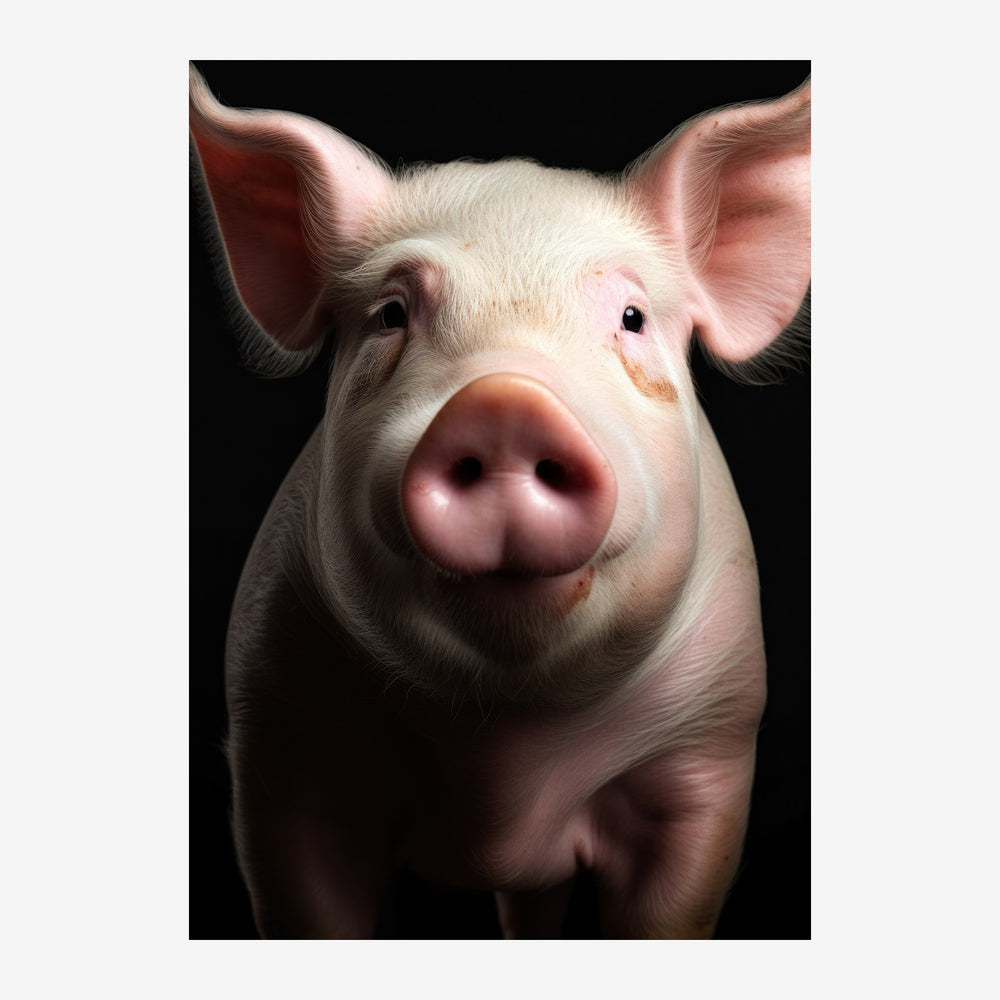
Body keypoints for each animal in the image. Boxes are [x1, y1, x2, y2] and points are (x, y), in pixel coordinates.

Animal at [190, 63, 810, 939]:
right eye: (391, 315)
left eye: (632, 318)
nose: (507, 402)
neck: (504, 755)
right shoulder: (280, 751)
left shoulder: (708, 752)